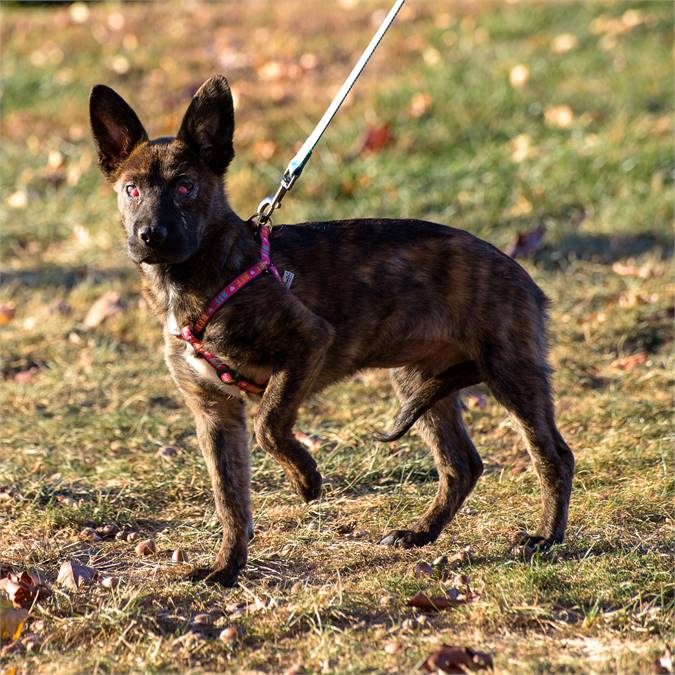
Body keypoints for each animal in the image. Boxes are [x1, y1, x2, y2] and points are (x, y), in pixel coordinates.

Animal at [90, 74, 576, 588]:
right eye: (131, 190)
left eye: (185, 186)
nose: (150, 236)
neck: (200, 275)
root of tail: (519, 270)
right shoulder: (213, 412)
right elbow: (230, 498)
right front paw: (226, 567)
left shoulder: (307, 341)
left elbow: (268, 425)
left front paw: (306, 479)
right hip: (418, 381)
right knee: (462, 465)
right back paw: (420, 534)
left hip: (509, 370)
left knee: (553, 454)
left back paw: (545, 537)